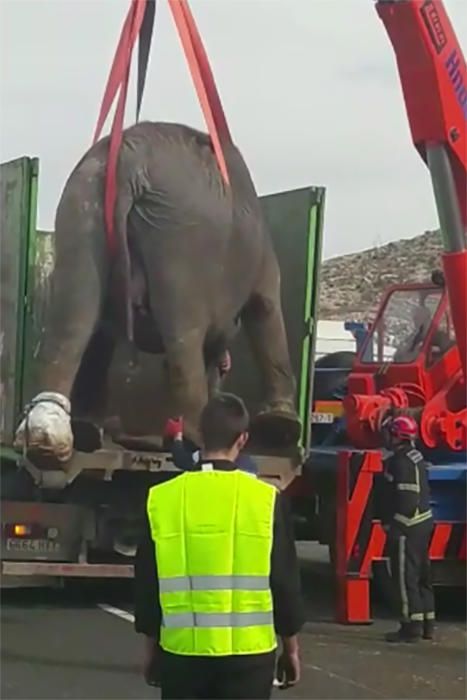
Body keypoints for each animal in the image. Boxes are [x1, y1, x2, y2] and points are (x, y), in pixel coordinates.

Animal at [14, 120, 302, 460]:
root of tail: (130, 158)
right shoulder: (259, 251)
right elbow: (265, 306)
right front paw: (281, 426)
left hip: (83, 207)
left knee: (73, 320)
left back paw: (60, 436)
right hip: (181, 236)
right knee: (183, 336)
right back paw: (193, 439)